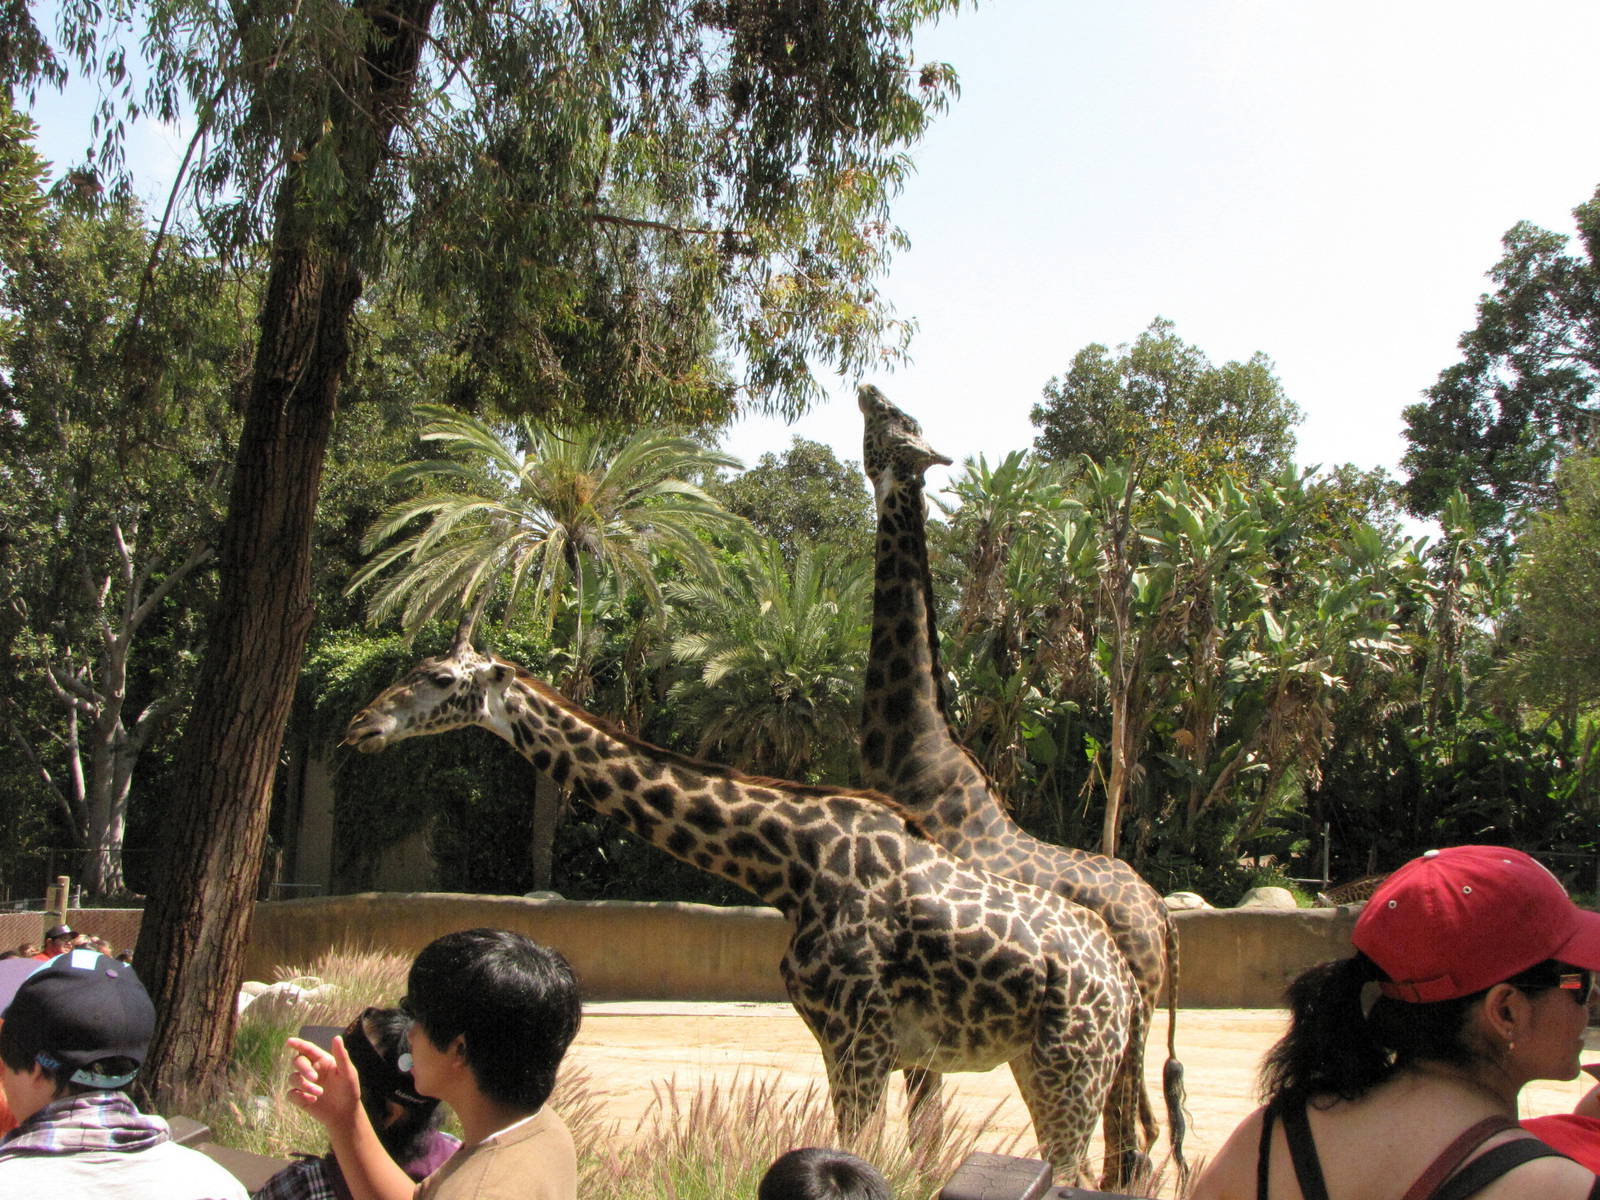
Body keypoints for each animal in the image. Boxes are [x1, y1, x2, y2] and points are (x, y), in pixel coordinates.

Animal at [343, 635, 1137, 1178]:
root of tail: (1125, 985)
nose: (361, 727)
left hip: (1070, 1069)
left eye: (439, 679)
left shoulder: (861, 1039)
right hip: (1048, 1067)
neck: (788, 864)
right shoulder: (847, 1043)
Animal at [856, 383, 1186, 1188]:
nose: (867, 387)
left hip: (1119, 1025)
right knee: (1139, 1137)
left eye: (893, 421)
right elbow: (925, 1124)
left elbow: (922, 1123)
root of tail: (1162, 914)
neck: (913, 752)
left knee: (1125, 1147)